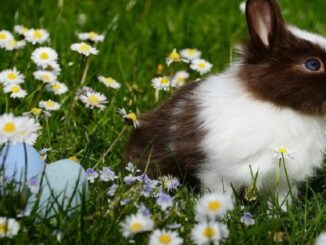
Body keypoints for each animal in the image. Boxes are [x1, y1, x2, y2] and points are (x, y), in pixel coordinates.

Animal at [125, 0, 326, 207]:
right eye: (312, 64)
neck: (277, 105)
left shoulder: (285, 180)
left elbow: (280, 199)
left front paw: (279, 212)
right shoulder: (216, 172)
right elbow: (220, 194)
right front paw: (224, 211)